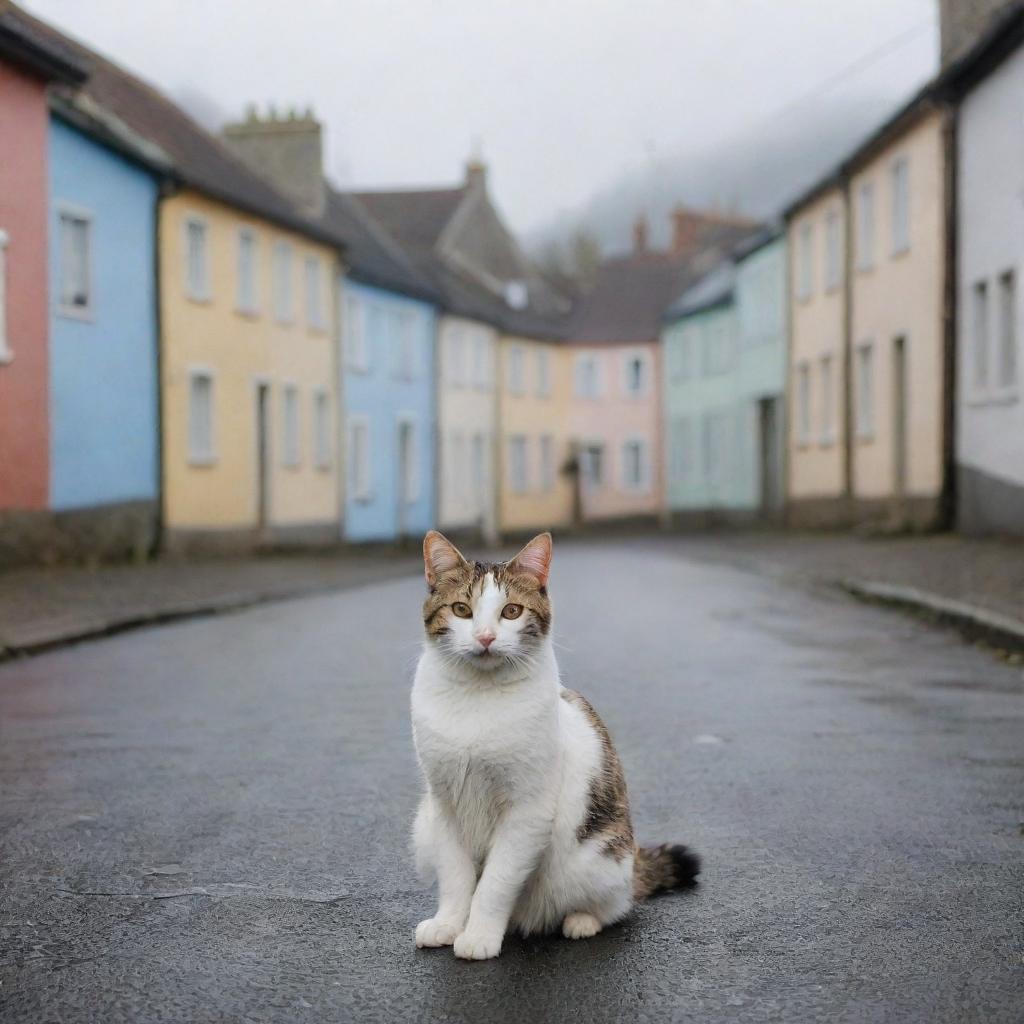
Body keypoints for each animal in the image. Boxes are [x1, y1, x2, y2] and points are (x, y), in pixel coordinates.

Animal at [411, 528, 700, 958]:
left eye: (511, 612)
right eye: (462, 609)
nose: (485, 637)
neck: (478, 697)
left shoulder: (528, 811)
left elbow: (494, 884)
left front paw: (478, 935)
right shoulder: (443, 804)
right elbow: (456, 877)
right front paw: (449, 923)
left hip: (597, 858)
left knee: (618, 902)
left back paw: (581, 920)